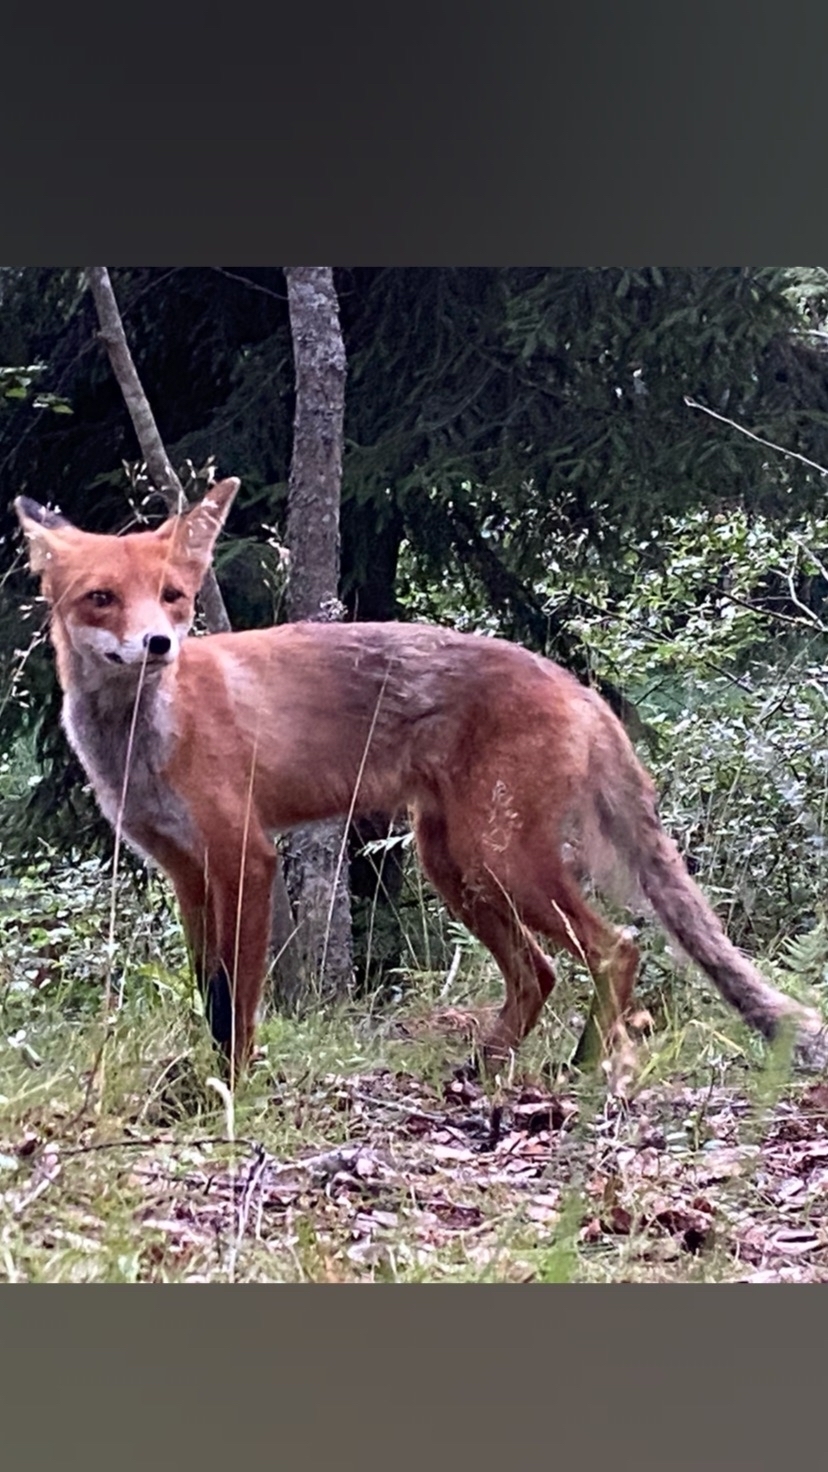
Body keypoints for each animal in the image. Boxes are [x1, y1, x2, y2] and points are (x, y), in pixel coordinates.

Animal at [14, 479, 825, 1083]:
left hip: (499, 859)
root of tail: (576, 683)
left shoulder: (246, 858)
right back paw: (490, 1068)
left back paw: (586, 1065)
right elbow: (208, 991)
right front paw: (204, 1081)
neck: (145, 741)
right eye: (102, 599)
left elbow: (236, 1000)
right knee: (538, 973)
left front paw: (234, 1089)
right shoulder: (187, 872)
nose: (157, 644)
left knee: (614, 946)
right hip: (454, 865)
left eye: (174, 596)